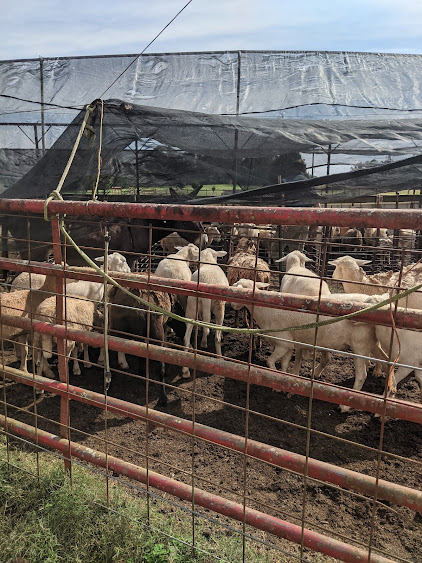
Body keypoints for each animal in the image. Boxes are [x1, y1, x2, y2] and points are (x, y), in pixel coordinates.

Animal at [181, 248, 227, 376]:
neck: (208, 261)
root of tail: (206, 281)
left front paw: (203, 341)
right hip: (219, 307)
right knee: (217, 337)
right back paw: (220, 358)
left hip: (192, 306)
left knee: (186, 337)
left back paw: (185, 370)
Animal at [229, 278, 388, 414]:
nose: (232, 305)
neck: (265, 310)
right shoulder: (288, 345)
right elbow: (284, 364)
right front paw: (282, 383)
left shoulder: (283, 342)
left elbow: (269, 362)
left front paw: (275, 380)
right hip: (371, 342)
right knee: (386, 361)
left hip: (360, 344)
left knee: (362, 375)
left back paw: (345, 406)